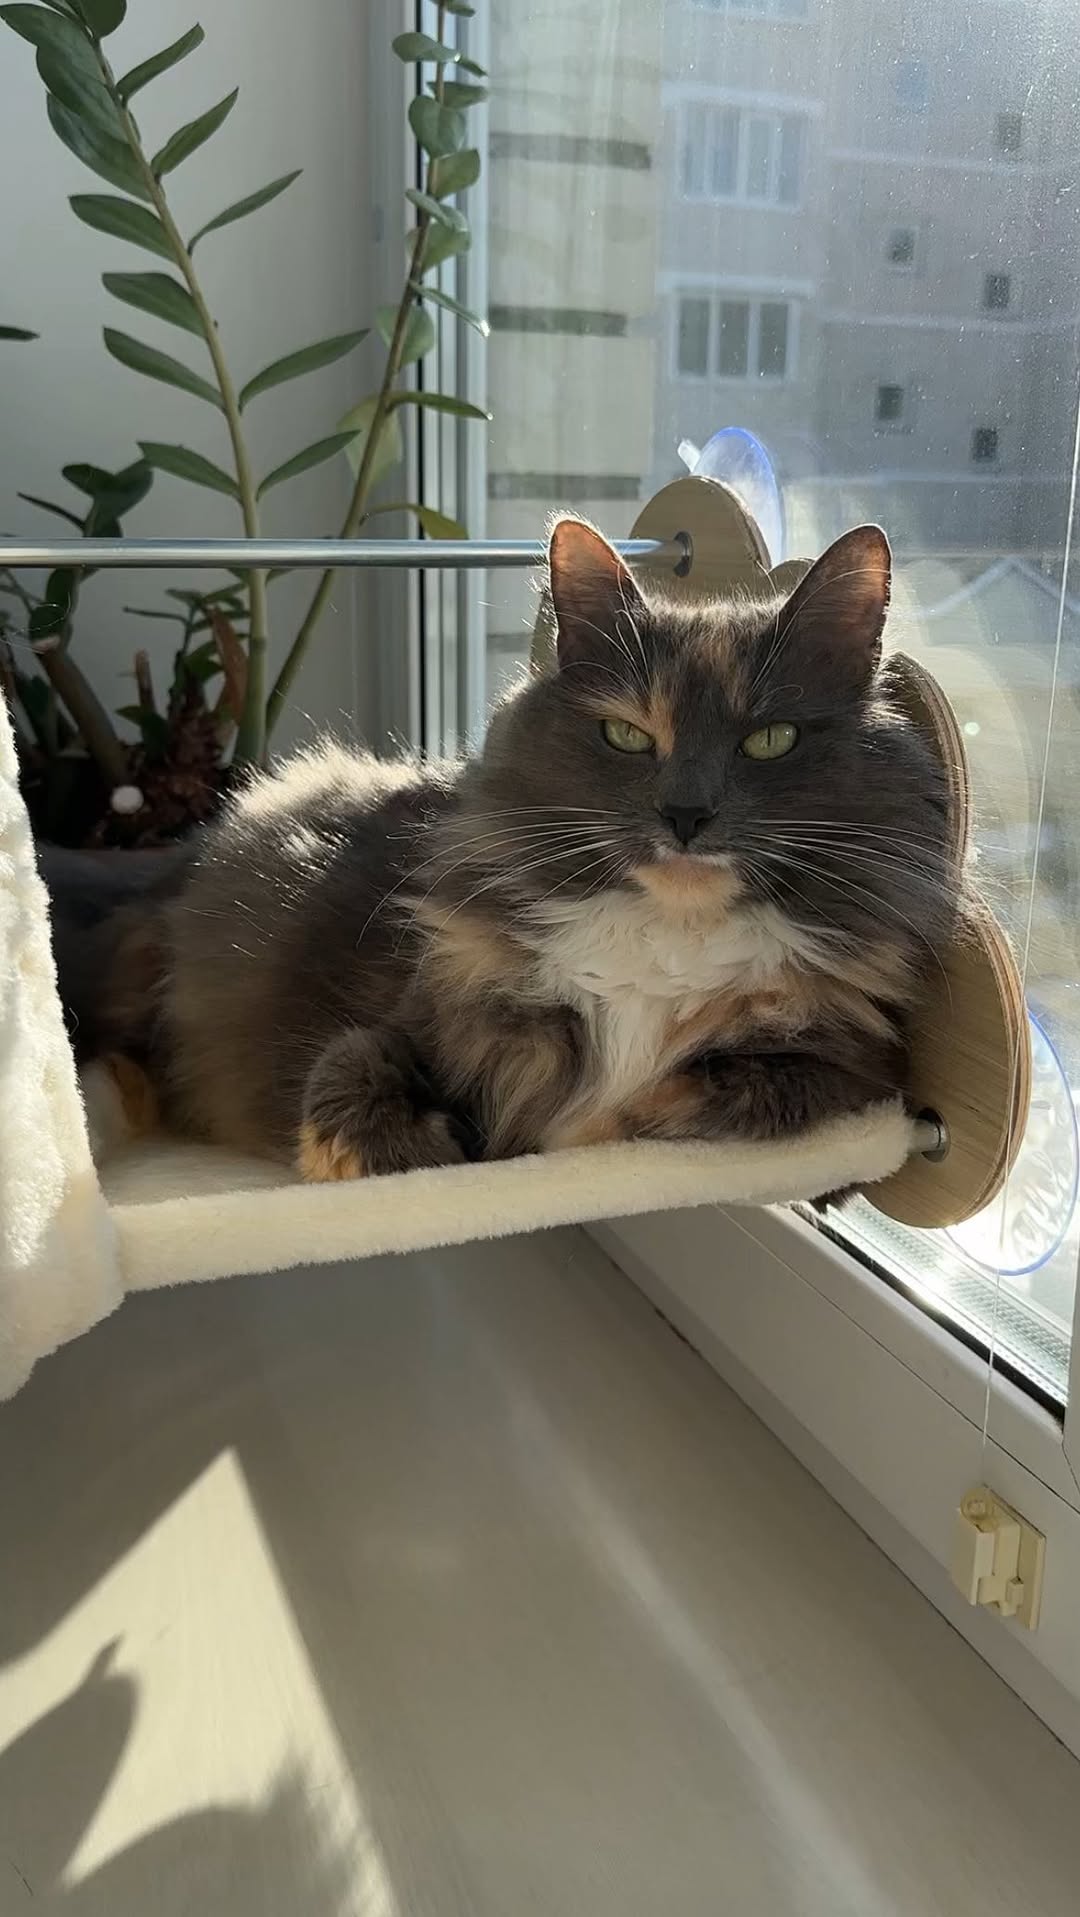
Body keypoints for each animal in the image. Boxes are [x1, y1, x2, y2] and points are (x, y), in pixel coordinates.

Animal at [51, 516, 954, 1180]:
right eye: (628, 734)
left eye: (770, 740)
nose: (686, 814)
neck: (666, 941)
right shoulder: (430, 997)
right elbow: (353, 1062)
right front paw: (406, 1152)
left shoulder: (850, 1059)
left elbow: (723, 1090)